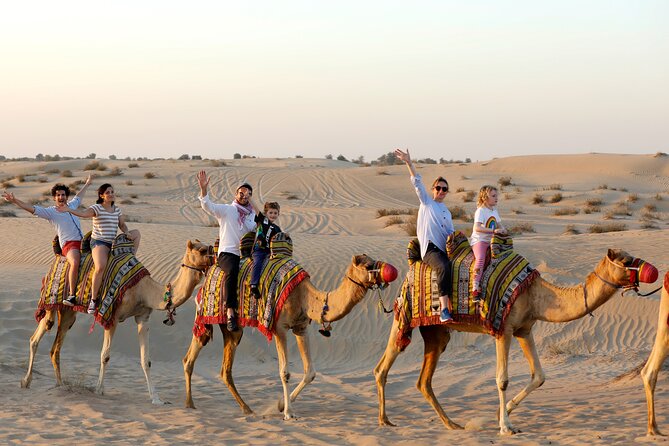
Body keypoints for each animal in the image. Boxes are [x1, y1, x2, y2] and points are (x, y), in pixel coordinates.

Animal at [22, 240, 212, 404]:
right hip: (51, 302)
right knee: (35, 338)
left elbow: (146, 360)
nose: (214, 258)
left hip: (68, 313)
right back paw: (26, 382)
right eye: (202, 250)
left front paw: (156, 398)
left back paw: (60, 386)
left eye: (207, 247)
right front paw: (99, 390)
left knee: (55, 348)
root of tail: (57, 257)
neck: (144, 290)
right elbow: (105, 355)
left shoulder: (143, 317)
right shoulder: (111, 317)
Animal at [183, 254, 398, 419]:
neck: (305, 297)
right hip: (208, 316)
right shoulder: (280, 328)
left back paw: (246, 408)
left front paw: (280, 405)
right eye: (368, 266)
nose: (390, 271)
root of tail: (207, 276)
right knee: (192, 356)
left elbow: (310, 372)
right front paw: (288, 412)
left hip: (234, 329)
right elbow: (285, 372)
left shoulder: (300, 328)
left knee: (224, 370)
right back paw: (190, 404)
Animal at [374, 248, 657, 435]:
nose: (652, 270)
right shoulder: (505, 329)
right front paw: (506, 426)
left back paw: (451, 424)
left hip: (436, 333)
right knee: (384, 365)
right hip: (405, 317)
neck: (536, 294)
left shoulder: (524, 329)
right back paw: (384, 421)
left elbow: (539, 376)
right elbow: (502, 379)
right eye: (626, 260)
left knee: (423, 381)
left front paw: (503, 412)